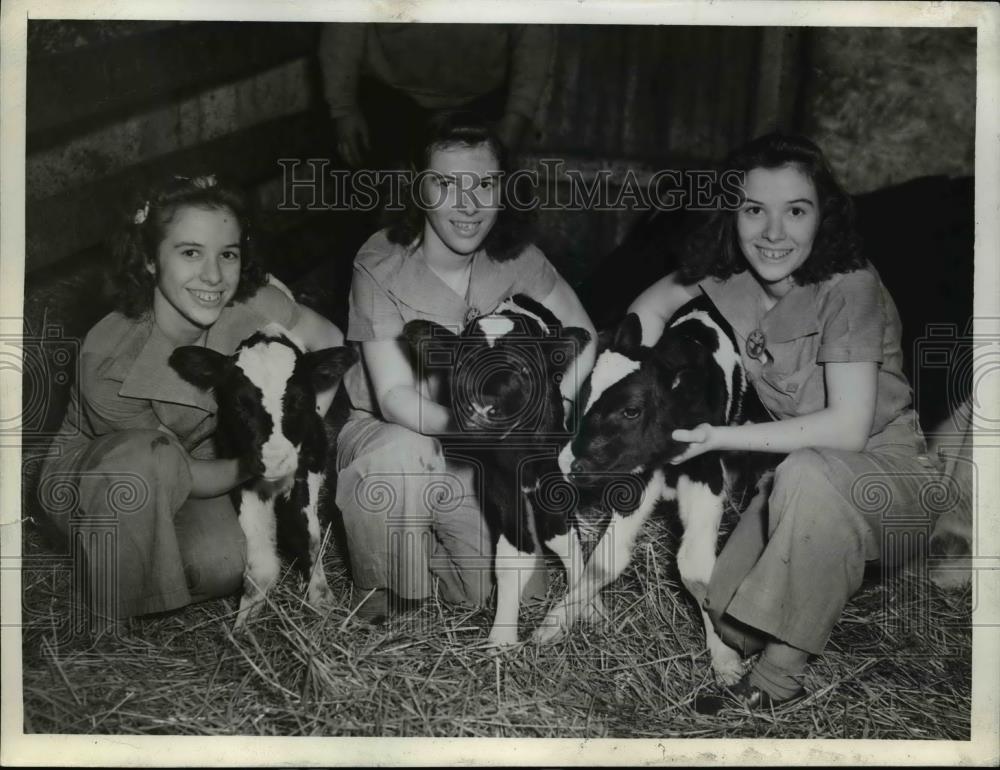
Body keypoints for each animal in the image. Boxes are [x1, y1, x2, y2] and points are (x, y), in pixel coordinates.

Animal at [170, 320, 358, 628]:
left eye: (299, 401)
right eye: (239, 404)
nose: (274, 461)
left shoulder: (309, 464)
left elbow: (309, 536)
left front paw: (322, 599)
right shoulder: (242, 475)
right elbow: (257, 557)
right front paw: (244, 621)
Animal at [548, 292, 772, 680]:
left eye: (631, 410)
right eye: (584, 394)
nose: (569, 464)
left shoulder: (704, 471)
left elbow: (696, 571)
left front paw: (725, 658)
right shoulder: (636, 478)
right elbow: (605, 562)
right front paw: (556, 622)